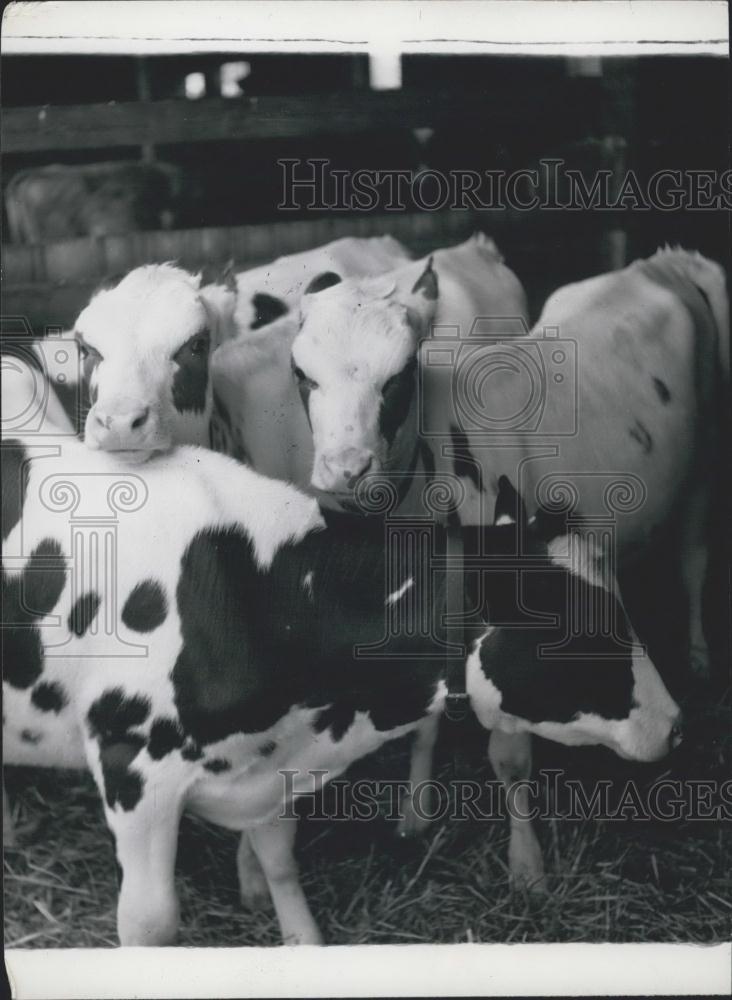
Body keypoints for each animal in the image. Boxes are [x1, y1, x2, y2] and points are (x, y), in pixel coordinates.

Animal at [2, 434, 684, 940]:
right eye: (577, 631)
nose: (676, 724)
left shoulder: (266, 763)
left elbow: (280, 862)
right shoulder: (133, 768)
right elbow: (150, 926)